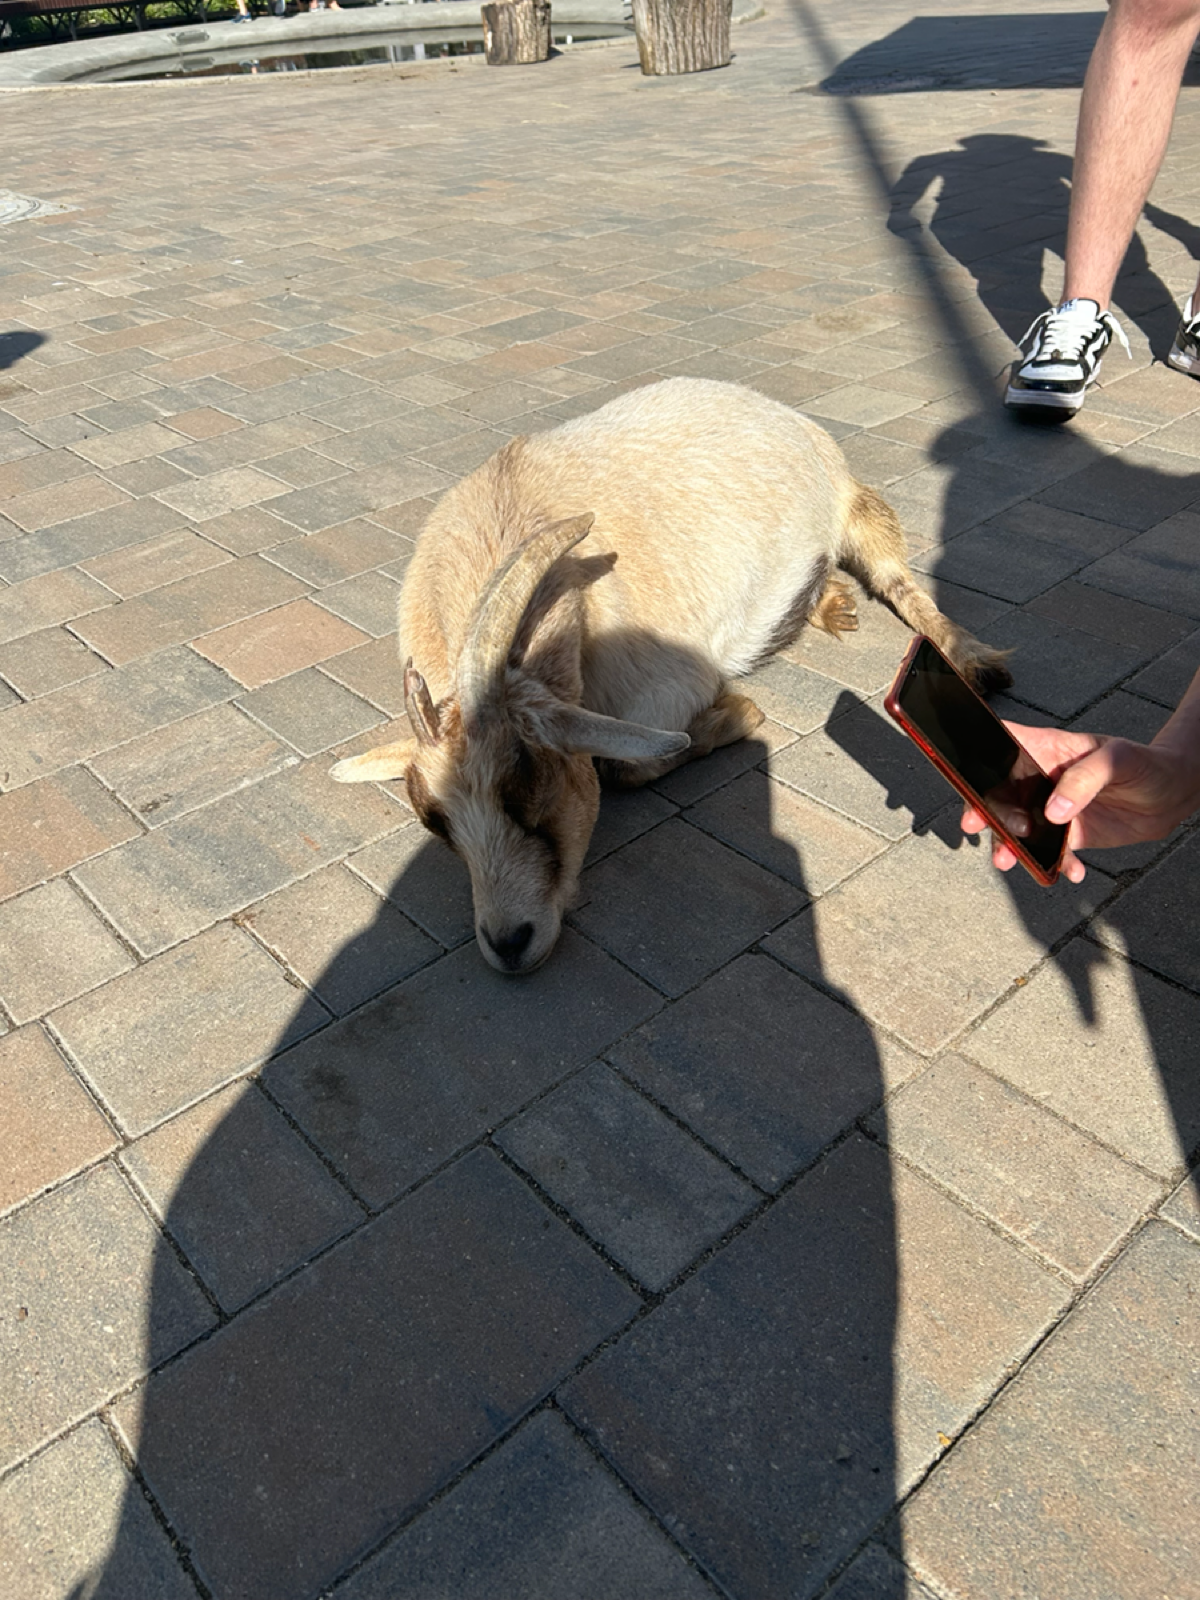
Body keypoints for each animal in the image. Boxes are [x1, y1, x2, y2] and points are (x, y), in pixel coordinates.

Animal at [331, 377, 1009, 974]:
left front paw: (739, 714)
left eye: (532, 792)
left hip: (856, 505)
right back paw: (831, 603)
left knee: (897, 578)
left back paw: (974, 661)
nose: (509, 944)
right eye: (435, 824)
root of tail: (776, 409)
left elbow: (626, 764)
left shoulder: (669, 681)